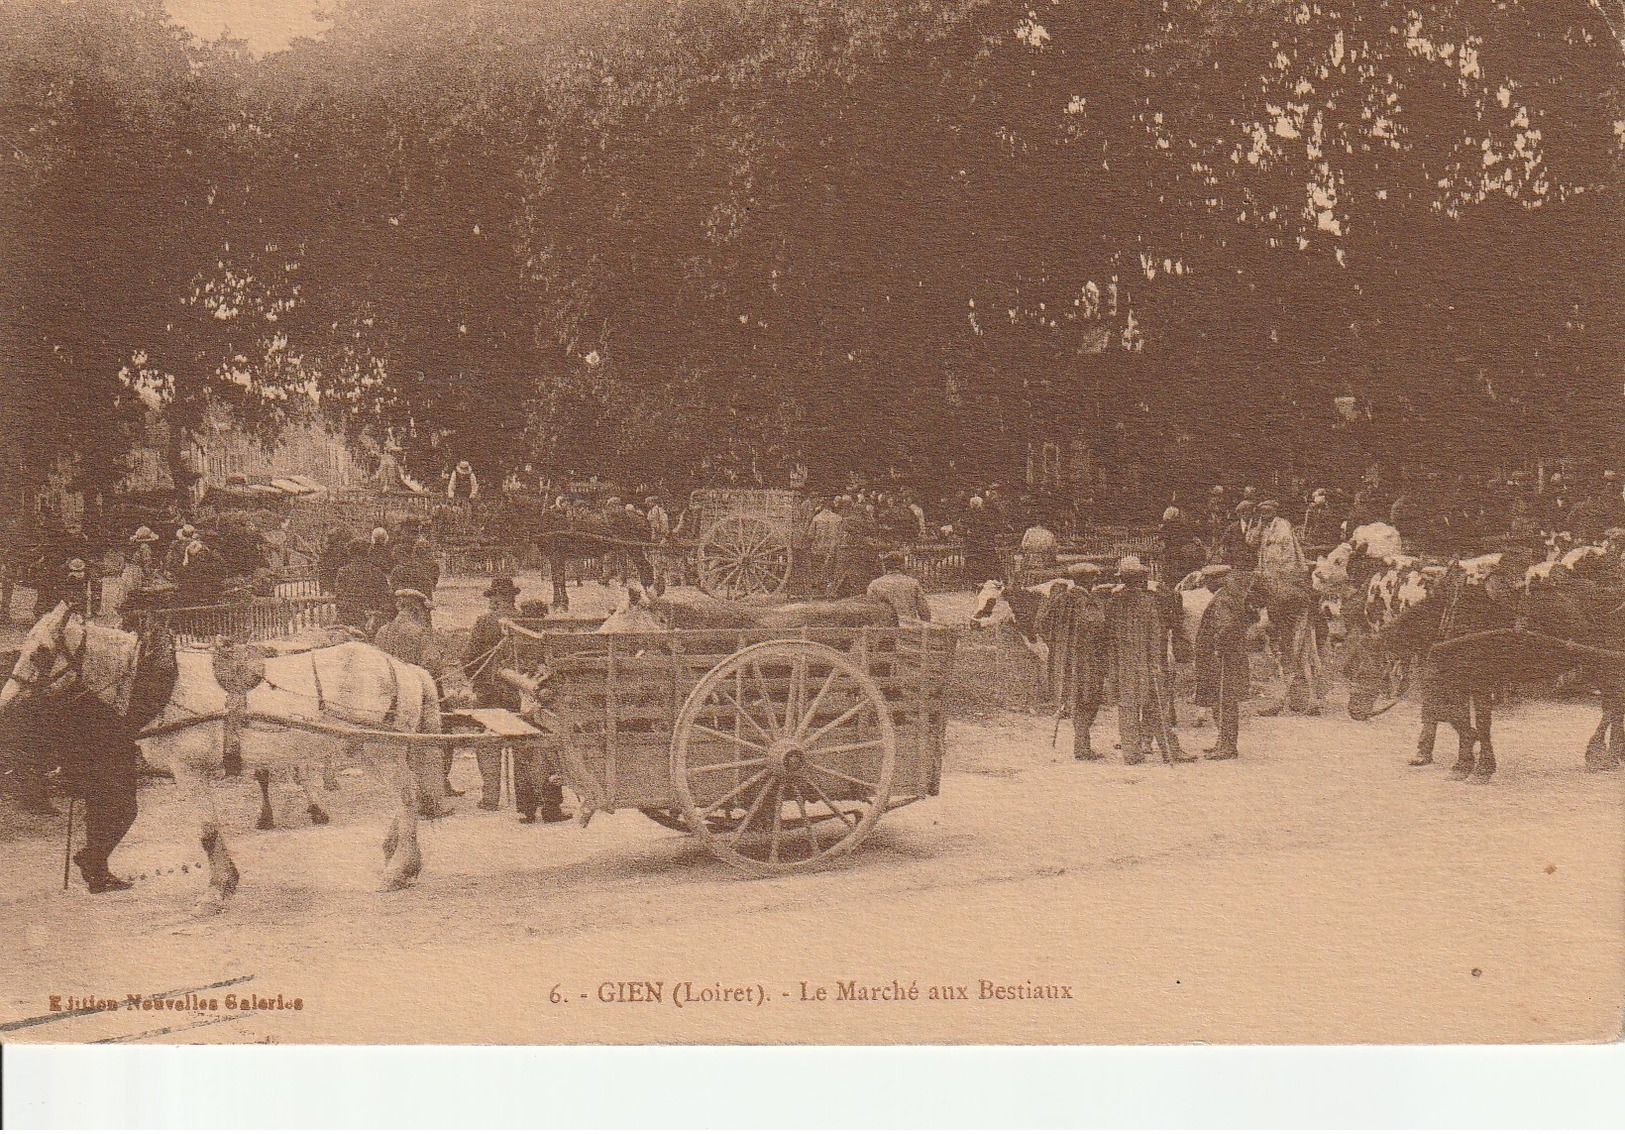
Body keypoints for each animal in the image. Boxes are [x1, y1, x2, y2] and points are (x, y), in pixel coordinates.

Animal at [0, 604, 445, 916]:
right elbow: (210, 831)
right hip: (372, 749)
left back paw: (399, 870)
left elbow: (207, 832)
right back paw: (396, 857)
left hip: (381, 749)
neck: (162, 682)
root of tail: (405, 666)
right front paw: (226, 884)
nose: (6, 702)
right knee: (406, 798)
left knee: (407, 797)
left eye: (41, 652)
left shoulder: (190, 772)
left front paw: (214, 894)